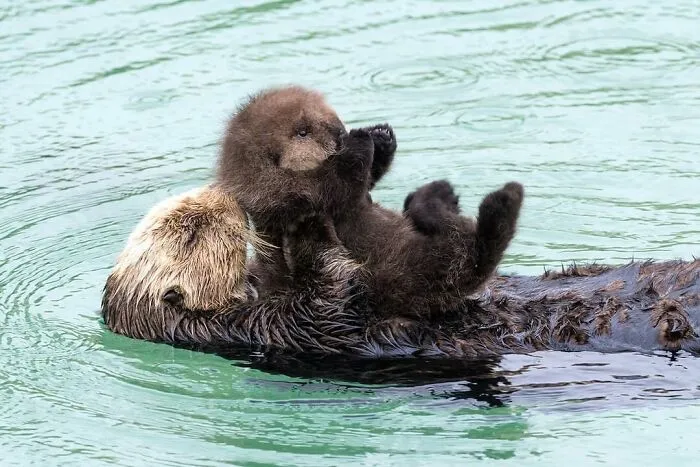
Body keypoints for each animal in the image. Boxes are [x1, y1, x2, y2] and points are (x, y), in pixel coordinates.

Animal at [216, 85, 524, 321]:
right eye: (303, 131)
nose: (340, 130)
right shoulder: (291, 193)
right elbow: (337, 184)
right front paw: (359, 141)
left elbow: (364, 184)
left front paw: (380, 136)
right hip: (419, 271)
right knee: (472, 249)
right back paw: (500, 199)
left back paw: (438, 193)